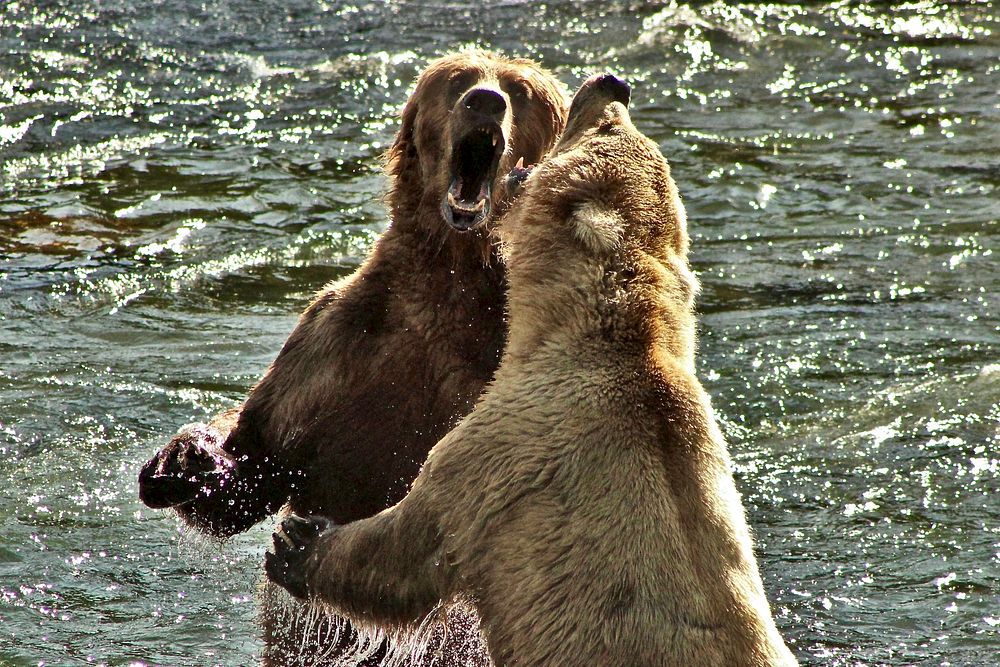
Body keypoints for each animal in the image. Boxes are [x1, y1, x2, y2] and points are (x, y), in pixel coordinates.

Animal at [137, 49, 568, 664]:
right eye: (457, 80)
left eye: (523, 91)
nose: (486, 101)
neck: (453, 285)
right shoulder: (338, 349)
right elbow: (257, 461)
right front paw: (188, 459)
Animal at [264, 73, 796, 667]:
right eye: (628, 128)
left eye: (607, 128)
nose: (613, 84)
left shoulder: (500, 453)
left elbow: (412, 546)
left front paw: (299, 543)